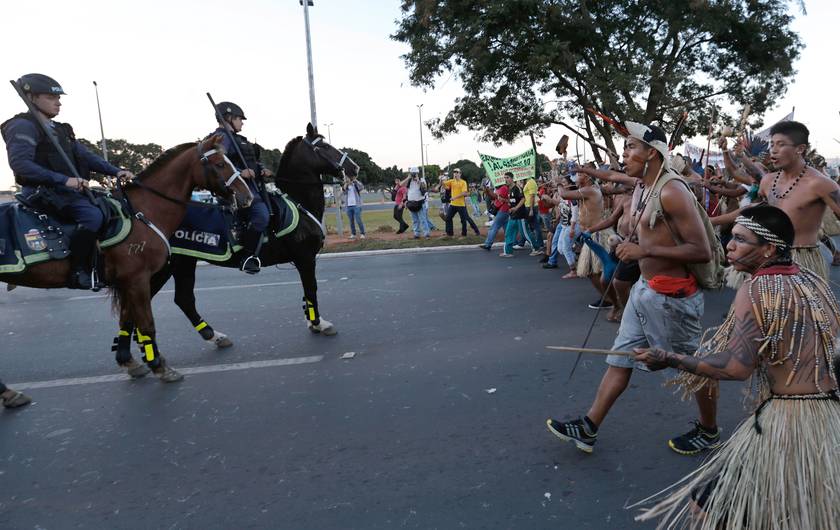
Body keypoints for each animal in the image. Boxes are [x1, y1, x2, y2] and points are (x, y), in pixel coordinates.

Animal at [1, 133, 254, 380]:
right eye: (220, 164)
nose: (247, 196)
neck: (143, 212)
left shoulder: (128, 281)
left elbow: (127, 318)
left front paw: (131, 360)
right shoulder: (137, 279)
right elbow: (146, 323)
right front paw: (158, 365)